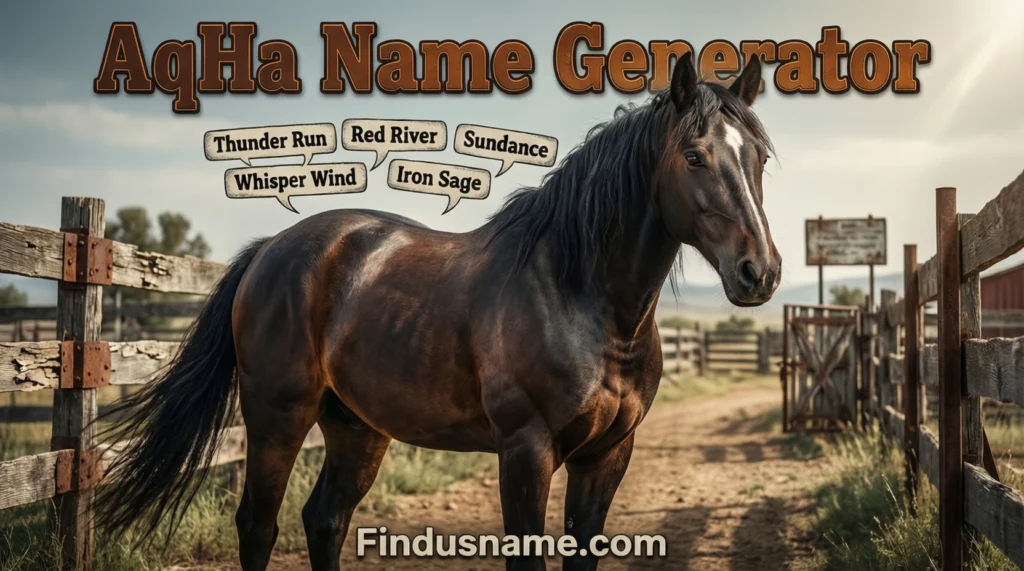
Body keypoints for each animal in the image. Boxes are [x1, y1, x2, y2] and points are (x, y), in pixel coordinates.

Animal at [95, 51, 781, 571]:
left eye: (759, 157)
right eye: (694, 156)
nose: (761, 272)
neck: (582, 298)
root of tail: (270, 250)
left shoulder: (608, 455)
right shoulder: (526, 451)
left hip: (356, 427)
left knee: (325, 519)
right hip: (275, 418)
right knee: (258, 527)